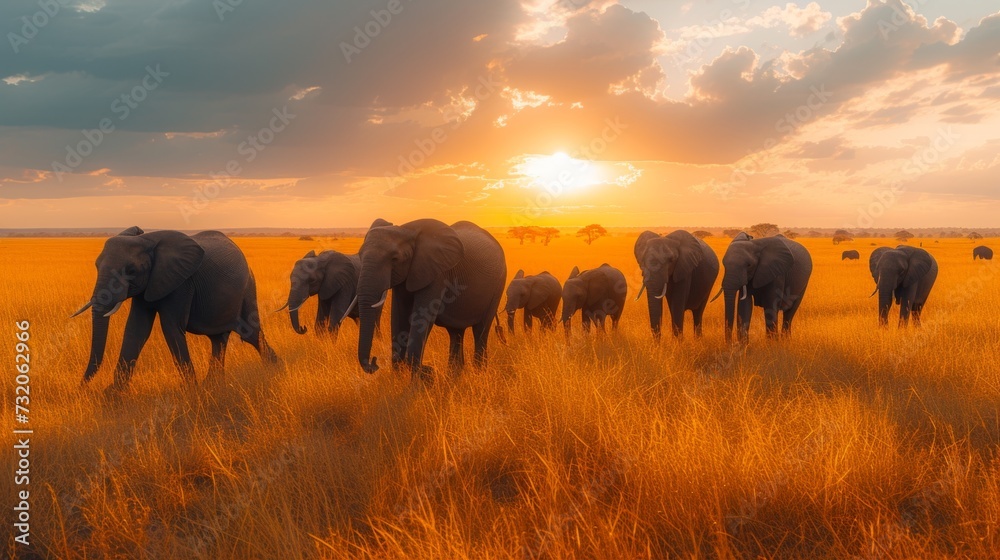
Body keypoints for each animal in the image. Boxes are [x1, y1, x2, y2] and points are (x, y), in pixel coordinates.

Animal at [72, 228, 280, 394]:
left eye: (131, 271)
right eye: (96, 266)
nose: (81, 389)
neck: (147, 240)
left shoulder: (182, 283)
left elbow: (171, 328)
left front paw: (192, 392)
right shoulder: (148, 284)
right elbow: (136, 329)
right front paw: (112, 396)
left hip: (248, 288)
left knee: (250, 333)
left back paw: (275, 369)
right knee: (218, 339)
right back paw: (213, 385)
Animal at [354, 219, 508, 380]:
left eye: (395, 259)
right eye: (360, 256)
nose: (374, 362)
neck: (406, 230)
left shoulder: (437, 274)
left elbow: (423, 318)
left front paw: (422, 376)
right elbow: (398, 316)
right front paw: (399, 379)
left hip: (498, 284)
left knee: (480, 331)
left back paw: (479, 374)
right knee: (456, 333)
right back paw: (454, 376)